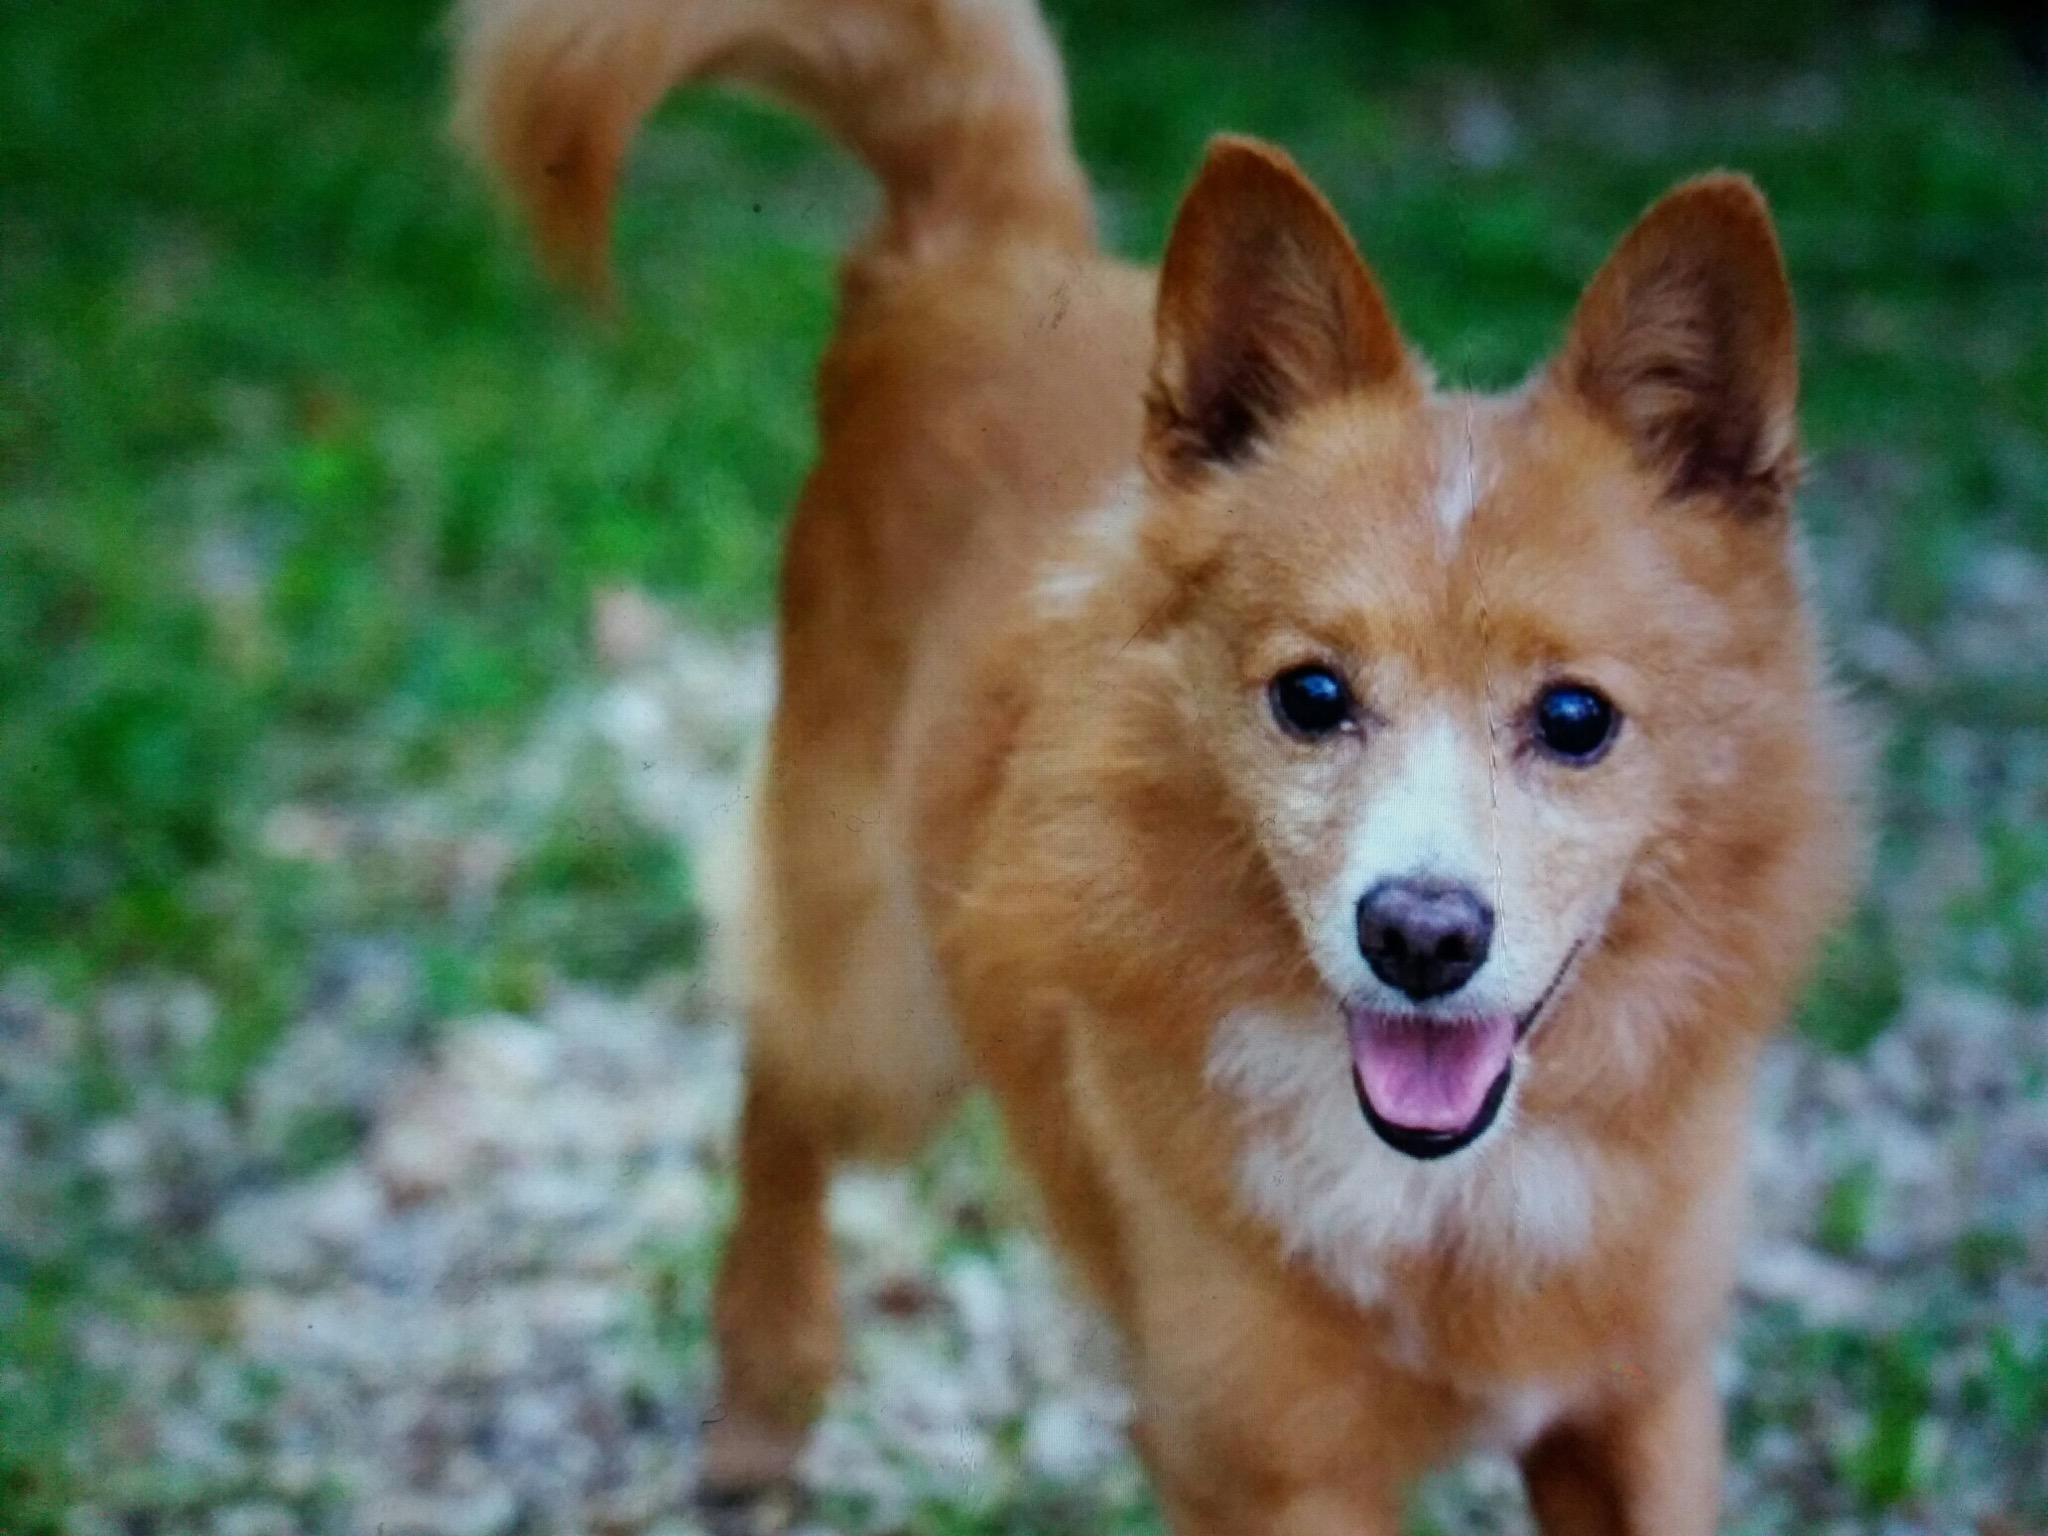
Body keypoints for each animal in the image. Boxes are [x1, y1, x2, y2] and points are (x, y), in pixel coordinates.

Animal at [456, 6, 1867, 1531]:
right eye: (1310, 695)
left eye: (1574, 717)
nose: (1420, 936)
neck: (1449, 1204)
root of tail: (981, 250)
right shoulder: (1264, 1468)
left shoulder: (1641, 1412)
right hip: (881, 1007)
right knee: (776, 1072)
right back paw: (765, 1388)